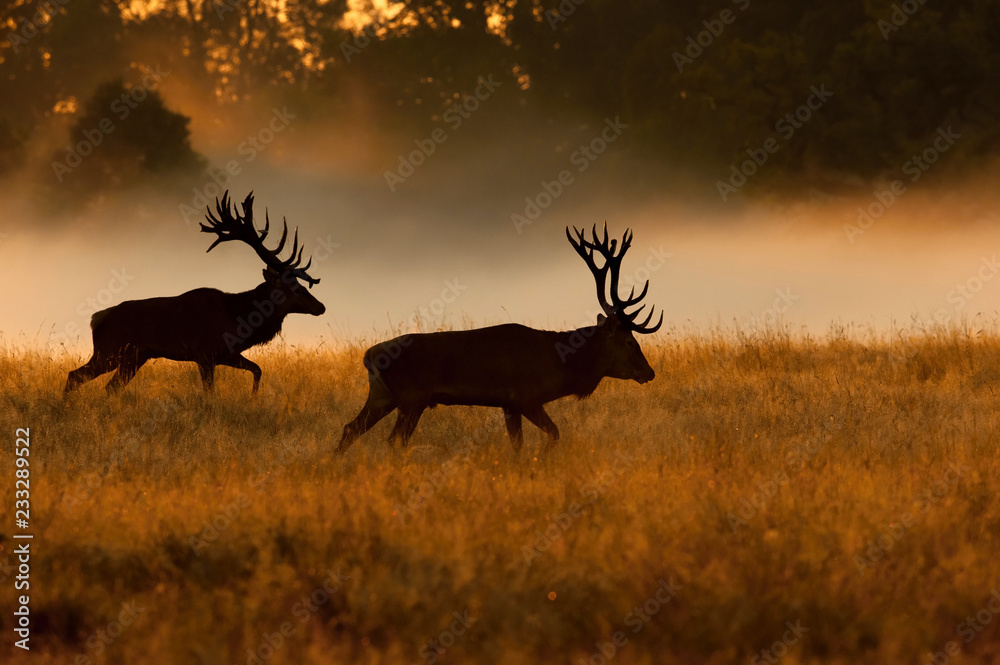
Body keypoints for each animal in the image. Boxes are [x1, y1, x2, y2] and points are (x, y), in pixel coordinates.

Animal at [63, 191, 325, 396]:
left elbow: (258, 369)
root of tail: (96, 318)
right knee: (75, 376)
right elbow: (210, 393)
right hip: (108, 351)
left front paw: (253, 398)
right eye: (295, 288)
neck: (239, 319)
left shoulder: (227, 354)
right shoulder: (205, 354)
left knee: (109, 387)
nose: (321, 306)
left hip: (133, 357)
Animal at [337, 223, 662, 454]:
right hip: (411, 398)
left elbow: (518, 445)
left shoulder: (508, 405)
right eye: (630, 341)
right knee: (393, 440)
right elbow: (554, 434)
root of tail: (368, 355)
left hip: (383, 396)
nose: (649, 372)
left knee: (350, 428)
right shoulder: (525, 397)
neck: (561, 364)